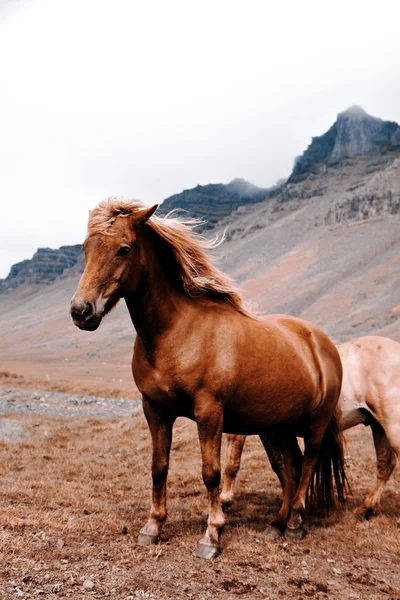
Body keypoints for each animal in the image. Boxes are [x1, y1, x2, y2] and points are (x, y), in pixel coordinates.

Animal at [70, 199, 346, 560]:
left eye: (123, 249)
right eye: (86, 248)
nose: (81, 311)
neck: (178, 332)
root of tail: (322, 342)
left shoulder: (209, 412)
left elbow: (211, 473)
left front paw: (212, 535)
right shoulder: (155, 411)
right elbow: (159, 467)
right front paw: (152, 527)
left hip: (314, 424)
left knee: (308, 464)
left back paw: (296, 523)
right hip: (277, 427)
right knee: (291, 466)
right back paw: (277, 524)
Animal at [220, 338, 398, 520]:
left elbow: (232, 463)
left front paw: (224, 501)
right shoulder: (268, 431)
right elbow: (279, 464)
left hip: (391, 425)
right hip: (378, 426)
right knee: (385, 464)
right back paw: (367, 508)